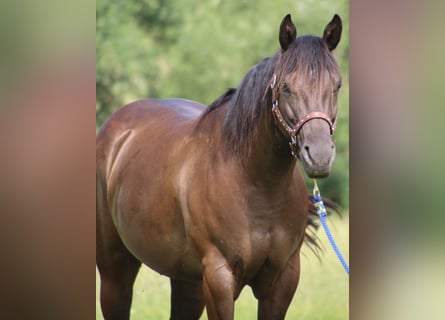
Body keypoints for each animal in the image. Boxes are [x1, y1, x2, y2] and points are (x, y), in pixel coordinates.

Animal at [95, 13, 342, 320]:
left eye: (337, 85)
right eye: (286, 86)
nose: (319, 155)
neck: (254, 183)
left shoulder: (282, 280)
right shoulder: (219, 278)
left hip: (186, 281)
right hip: (115, 270)